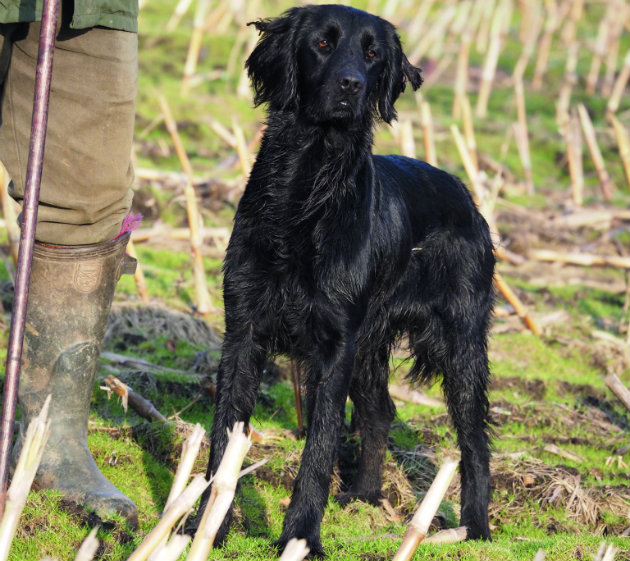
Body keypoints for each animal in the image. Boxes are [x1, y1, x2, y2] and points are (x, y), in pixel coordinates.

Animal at [205, 4, 496, 556]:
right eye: (322, 43)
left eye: (372, 54)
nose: (351, 85)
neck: (309, 187)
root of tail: (465, 196)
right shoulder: (244, 329)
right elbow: (224, 434)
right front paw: (201, 526)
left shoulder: (336, 344)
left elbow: (319, 449)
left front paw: (300, 538)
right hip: (371, 346)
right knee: (381, 412)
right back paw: (364, 494)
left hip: (460, 344)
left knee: (474, 442)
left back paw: (475, 529)